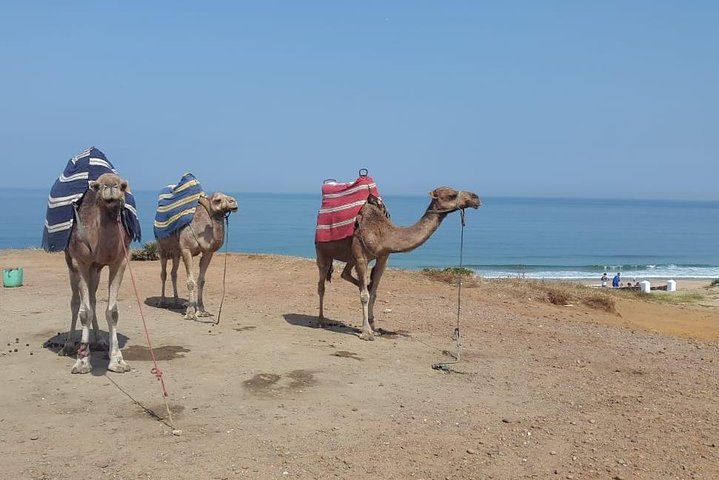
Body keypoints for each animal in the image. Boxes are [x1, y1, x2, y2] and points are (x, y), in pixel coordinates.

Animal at [62, 172, 134, 376]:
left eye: (122, 185)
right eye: (98, 186)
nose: (110, 186)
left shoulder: (120, 261)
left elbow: (113, 312)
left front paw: (117, 360)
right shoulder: (80, 262)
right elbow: (84, 312)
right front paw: (82, 363)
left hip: (95, 270)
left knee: (93, 299)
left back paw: (100, 342)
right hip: (71, 265)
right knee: (75, 302)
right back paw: (68, 345)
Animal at [316, 186, 480, 340]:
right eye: (452, 195)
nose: (476, 198)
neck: (384, 233)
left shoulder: (383, 257)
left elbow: (373, 294)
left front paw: (374, 327)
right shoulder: (360, 255)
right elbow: (364, 296)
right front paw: (366, 332)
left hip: (349, 257)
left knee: (345, 273)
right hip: (323, 251)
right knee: (322, 285)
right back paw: (321, 321)